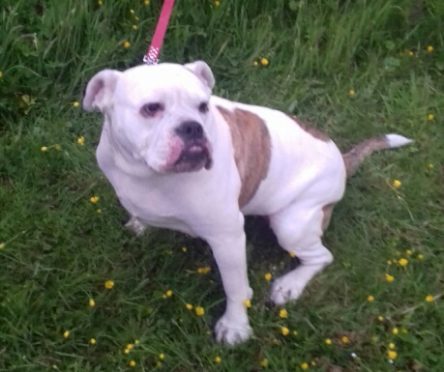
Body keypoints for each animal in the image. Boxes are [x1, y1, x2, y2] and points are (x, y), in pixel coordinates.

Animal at [82, 59, 410, 344]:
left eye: (203, 107)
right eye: (151, 109)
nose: (192, 126)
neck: (148, 174)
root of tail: (341, 158)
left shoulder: (227, 237)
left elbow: (236, 287)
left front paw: (235, 327)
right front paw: (139, 224)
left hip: (292, 225)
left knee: (321, 256)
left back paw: (289, 285)